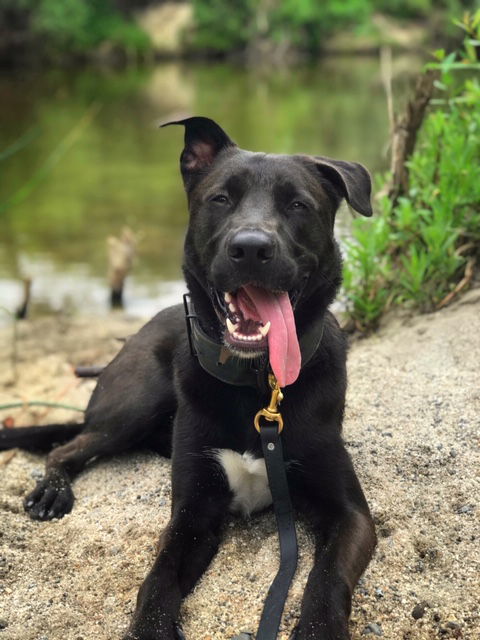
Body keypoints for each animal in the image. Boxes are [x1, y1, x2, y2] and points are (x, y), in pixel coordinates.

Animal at [0, 119, 376, 640]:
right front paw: (150, 627)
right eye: (221, 199)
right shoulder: (192, 515)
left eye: (298, 205)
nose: (251, 248)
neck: (258, 386)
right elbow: (157, 579)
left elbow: (328, 576)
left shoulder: (351, 515)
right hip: (136, 401)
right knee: (68, 447)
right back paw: (53, 489)